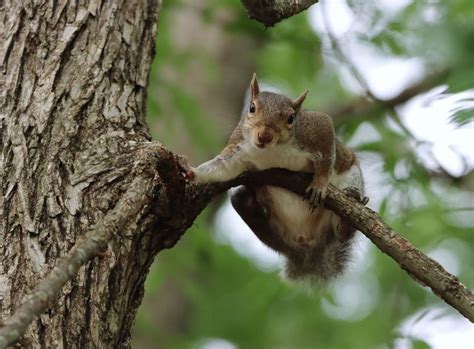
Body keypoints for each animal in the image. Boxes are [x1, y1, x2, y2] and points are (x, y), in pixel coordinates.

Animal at [183, 74, 364, 282]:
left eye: (291, 118)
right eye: (252, 108)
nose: (265, 135)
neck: (273, 149)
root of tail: (307, 242)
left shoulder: (315, 128)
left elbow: (326, 154)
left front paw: (319, 183)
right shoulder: (237, 147)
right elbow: (221, 167)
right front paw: (192, 172)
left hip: (350, 180)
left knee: (342, 233)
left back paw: (350, 211)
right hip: (267, 224)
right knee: (244, 201)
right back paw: (259, 208)